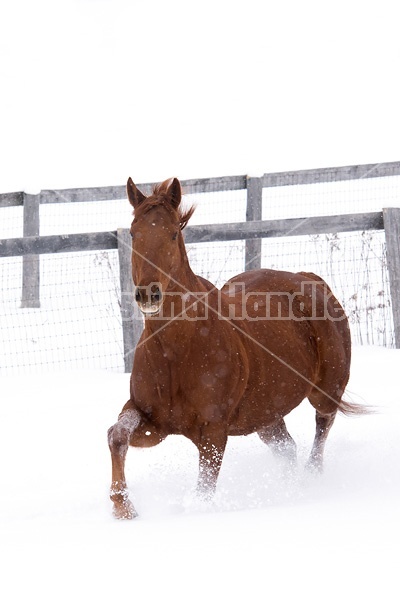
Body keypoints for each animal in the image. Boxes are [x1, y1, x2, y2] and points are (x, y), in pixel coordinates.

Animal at [108, 176, 360, 516]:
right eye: (134, 233)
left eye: (173, 233)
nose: (149, 294)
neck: (177, 351)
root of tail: (310, 279)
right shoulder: (151, 420)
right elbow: (117, 435)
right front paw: (123, 507)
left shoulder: (213, 431)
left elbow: (204, 489)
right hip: (265, 415)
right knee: (288, 448)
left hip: (326, 390)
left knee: (322, 427)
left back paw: (312, 479)